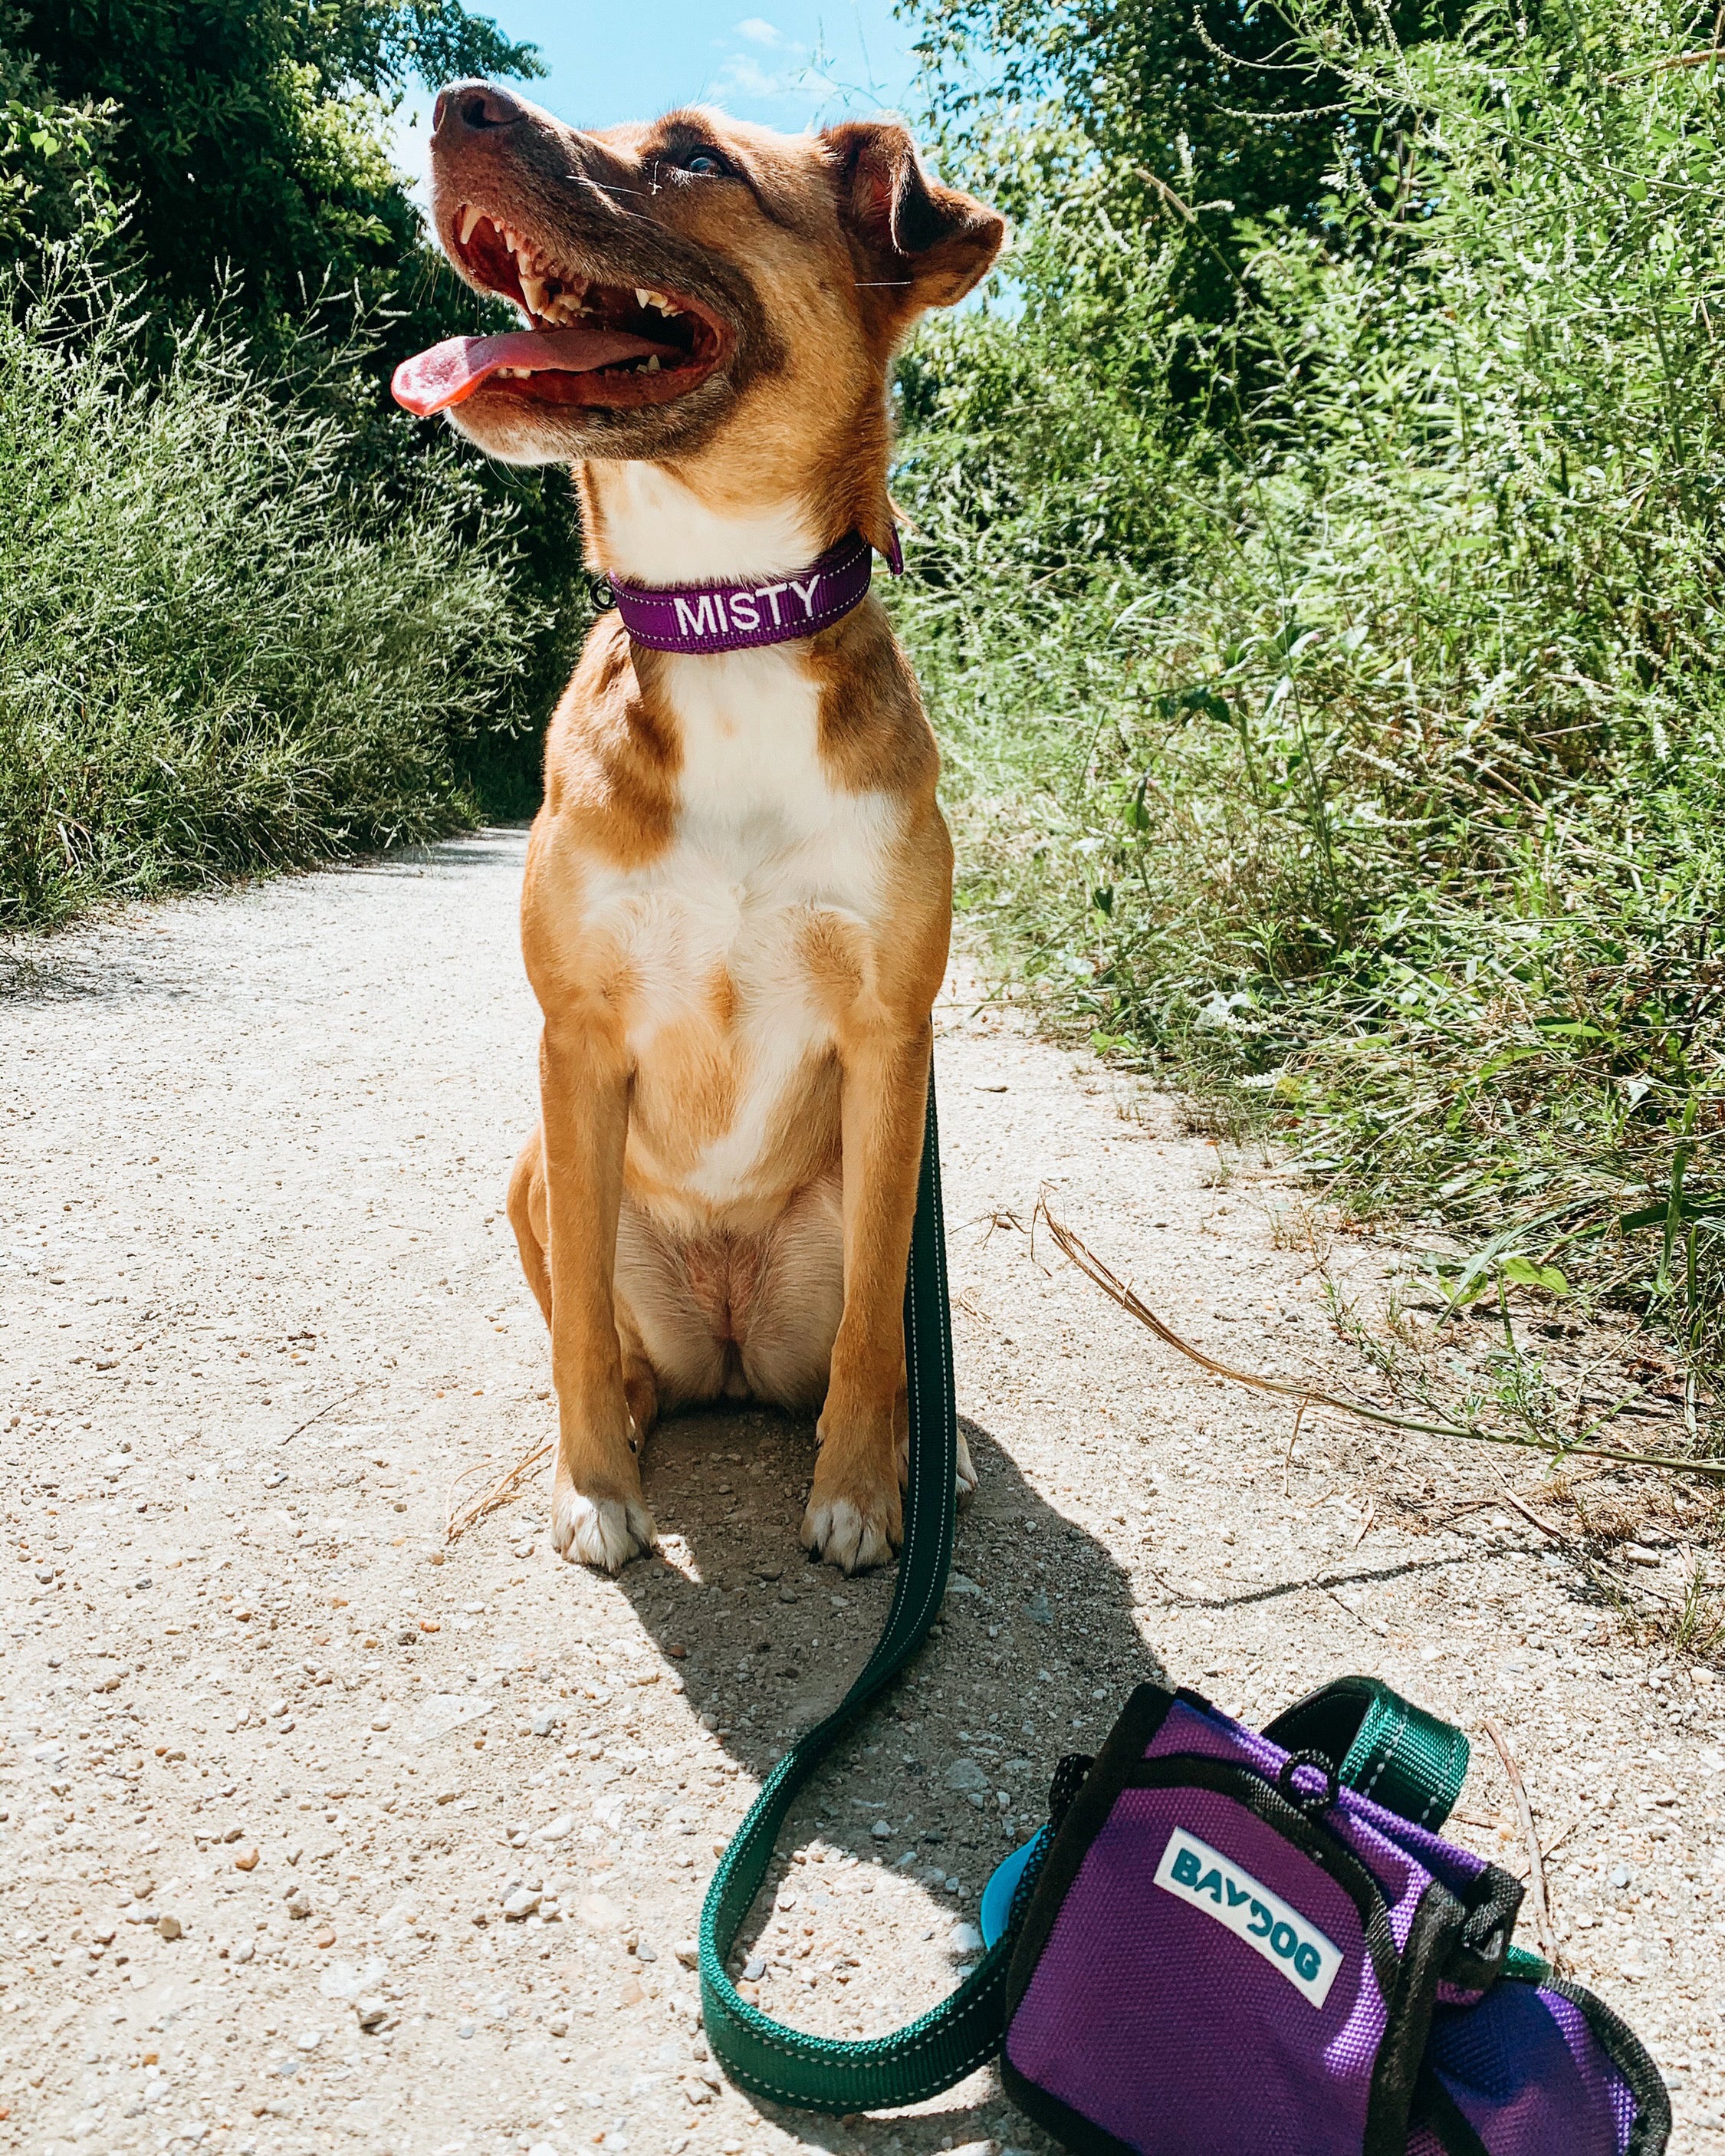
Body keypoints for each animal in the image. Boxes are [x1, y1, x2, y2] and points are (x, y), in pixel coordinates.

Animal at [399, 84, 1004, 1578]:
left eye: (690, 157)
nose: (454, 105)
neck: (728, 617)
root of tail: (727, 1351)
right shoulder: (574, 1043)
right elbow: (569, 1329)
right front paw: (593, 1486)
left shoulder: (893, 1044)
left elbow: (875, 1331)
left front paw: (864, 1493)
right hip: (537, 1170)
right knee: (604, 1334)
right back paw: (623, 1407)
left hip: (877, 1187)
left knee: (882, 1338)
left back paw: (931, 1448)